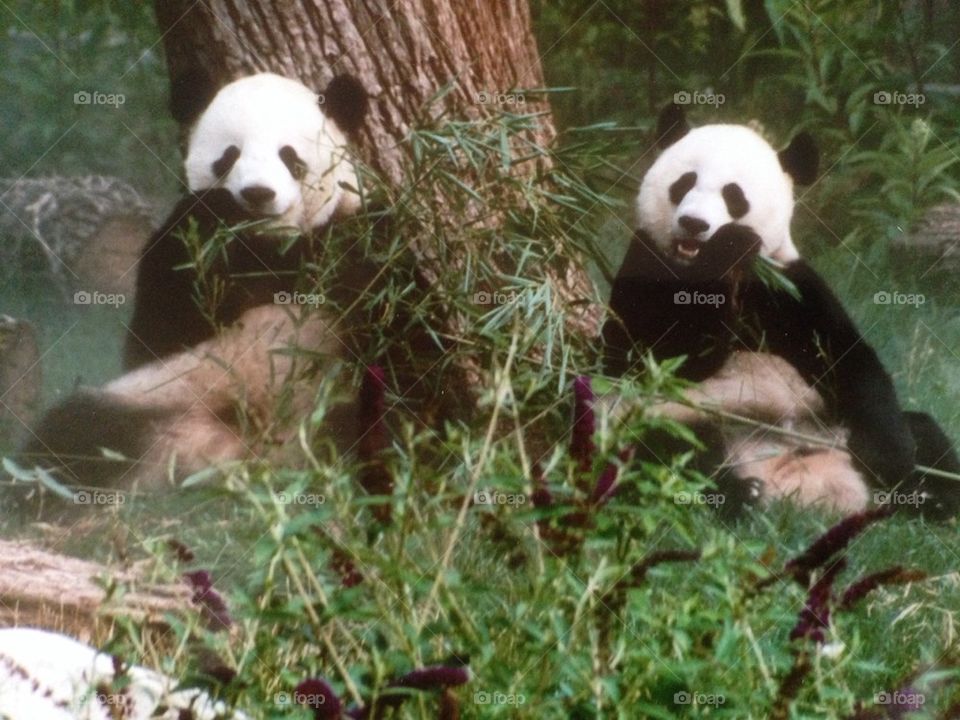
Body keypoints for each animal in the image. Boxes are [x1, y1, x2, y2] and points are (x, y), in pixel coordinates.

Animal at [17, 71, 369, 501]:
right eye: (230, 155)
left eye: (290, 156)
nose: (257, 193)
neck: (268, 241)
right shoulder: (173, 255)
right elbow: (154, 334)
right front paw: (215, 213)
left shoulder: (346, 239)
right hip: (163, 399)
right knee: (78, 432)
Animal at [601, 103, 960, 518]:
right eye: (684, 183)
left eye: (733, 195)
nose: (694, 224)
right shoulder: (645, 262)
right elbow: (652, 357)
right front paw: (728, 248)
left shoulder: (790, 286)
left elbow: (850, 359)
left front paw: (892, 457)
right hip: (680, 417)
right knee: (664, 446)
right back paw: (740, 494)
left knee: (923, 431)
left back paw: (930, 496)